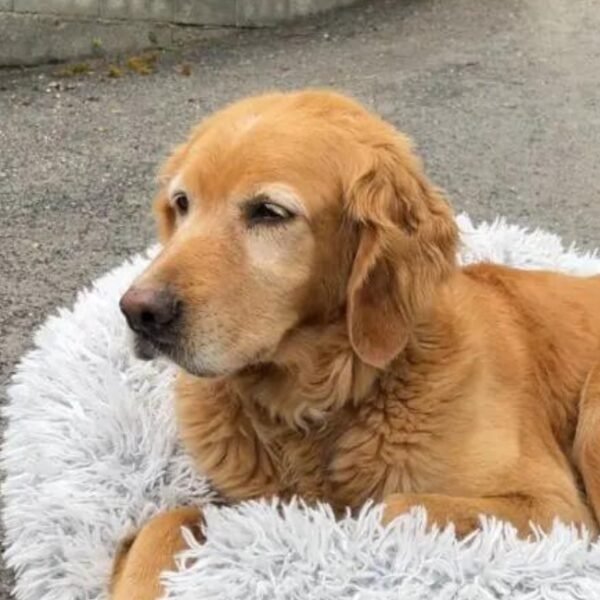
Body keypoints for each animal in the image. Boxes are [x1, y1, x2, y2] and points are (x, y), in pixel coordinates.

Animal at [111, 90, 600, 600]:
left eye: (268, 212)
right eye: (181, 204)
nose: (138, 312)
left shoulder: (552, 507)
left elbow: (392, 507)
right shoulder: (245, 500)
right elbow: (169, 519)